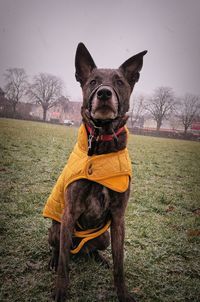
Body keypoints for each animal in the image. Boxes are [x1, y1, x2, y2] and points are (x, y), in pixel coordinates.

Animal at [43, 43, 147, 302]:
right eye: (92, 81)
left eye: (119, 81)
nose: (104, 94)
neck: (102, 146)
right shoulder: (69, 213)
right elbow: (64, 265)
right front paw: (60, 292)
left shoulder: (118, 219)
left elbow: (120, 265)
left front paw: (123, 294)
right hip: (57, 229)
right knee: (58, 250)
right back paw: (53, 260)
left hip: (103, 237)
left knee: (92, 252)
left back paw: (99, 258)